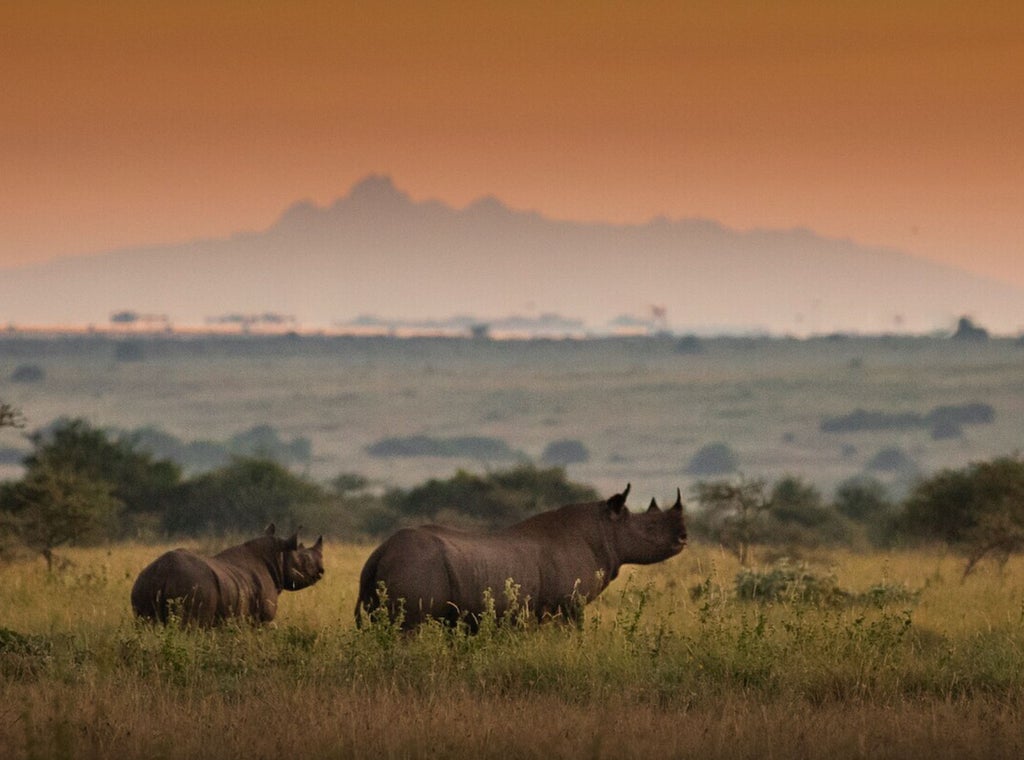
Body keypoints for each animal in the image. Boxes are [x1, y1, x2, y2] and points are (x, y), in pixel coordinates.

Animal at [130, 528, 323, 626]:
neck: (277, 556)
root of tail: (162, 573)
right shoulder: (262, 619)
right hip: (192, 586)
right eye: (305, 559)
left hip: (143, 584)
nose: (321, 571)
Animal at [356, 485, 684, 635]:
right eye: (650, 528)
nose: (683, 538)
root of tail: (380, 552)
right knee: (407, 631)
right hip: (417, 566)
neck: (604, 528)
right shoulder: (566, 606)